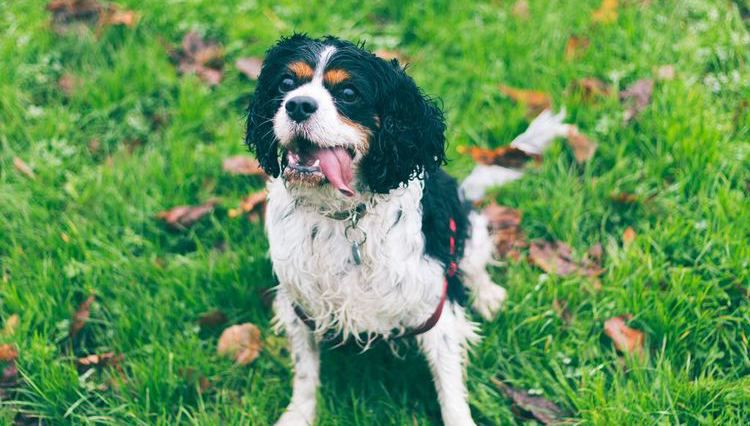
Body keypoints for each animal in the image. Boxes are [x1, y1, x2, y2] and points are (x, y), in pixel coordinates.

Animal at [247, 34, 512, 426]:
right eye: (286, 83)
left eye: (349, 92)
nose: (297, 105)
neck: (342, 214)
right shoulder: (300, 305)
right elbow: (305, 372)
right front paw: (298, 415)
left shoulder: (434, 305)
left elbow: (449, 384)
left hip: (469, 224)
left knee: (474, 264)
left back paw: (488, 295)